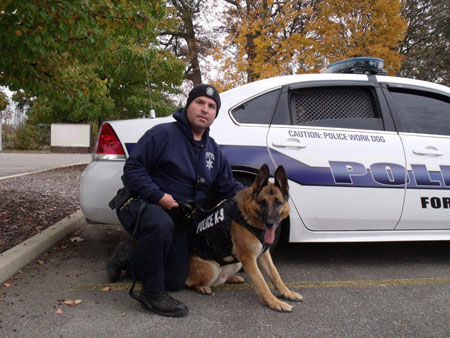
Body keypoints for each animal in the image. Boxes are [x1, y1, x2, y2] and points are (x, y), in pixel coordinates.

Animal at [186, 164, 302, 312]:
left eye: (278, 203)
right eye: (262, 203)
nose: (270, 223)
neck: (248, 218)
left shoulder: (263, 254)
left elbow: (275, 275)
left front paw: (287, 293)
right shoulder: (249, 259)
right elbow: (262, 282)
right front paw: (274, 302)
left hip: (236, 263)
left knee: (221, 279)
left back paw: (233, 278)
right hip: (212, 268)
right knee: (191, 283)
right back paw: (202, 287)